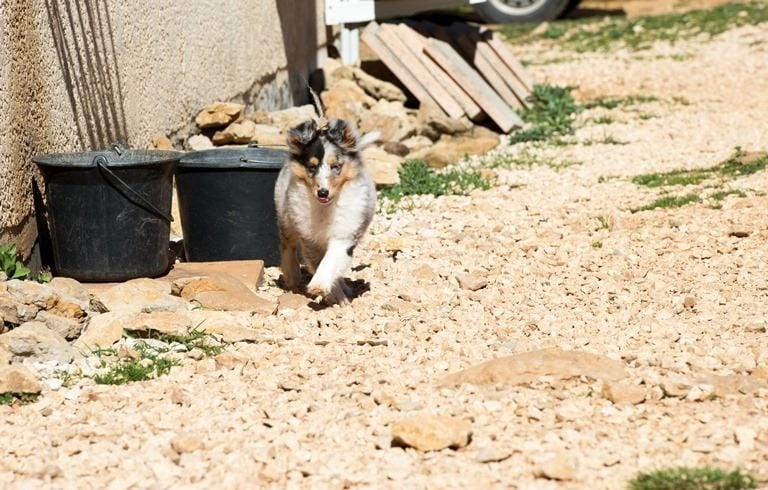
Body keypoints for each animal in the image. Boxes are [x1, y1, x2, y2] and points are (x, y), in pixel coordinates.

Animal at [272, 117, 378, 306]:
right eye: (311, 167)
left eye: (335, 166)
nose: (322, 192)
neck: (325, 208)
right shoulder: (309, 239)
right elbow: (317, 262)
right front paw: (333, 295)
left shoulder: (344, 235)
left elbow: (330, 260)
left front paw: (320, 286)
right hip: (285, 216)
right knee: (288, 245)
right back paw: (293, 277)